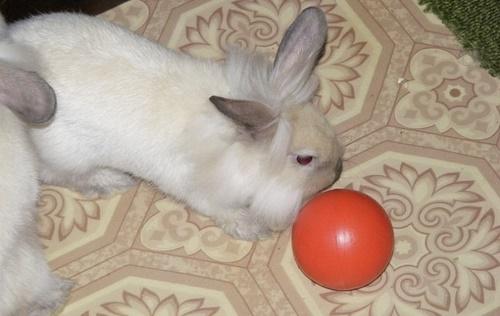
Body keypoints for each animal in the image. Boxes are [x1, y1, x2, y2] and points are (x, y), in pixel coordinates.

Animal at [9, 7, 344, 239]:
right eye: (304, 159)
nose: (337, 173)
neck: (237, 149)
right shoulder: (198, 191)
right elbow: (222, 210)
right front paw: (252, 228)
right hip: (66, 154)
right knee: (57, 174)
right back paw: (111, 180)